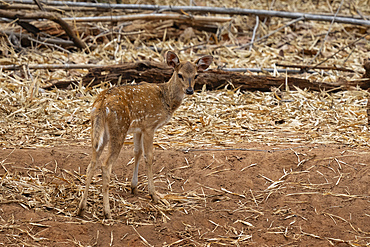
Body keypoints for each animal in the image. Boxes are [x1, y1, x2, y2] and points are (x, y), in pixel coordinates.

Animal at [76, 51, 212, 218]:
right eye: (179, 74)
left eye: (196, 75)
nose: (190, 90)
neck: (166, 99)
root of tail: (101, 103)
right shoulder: (149, 126)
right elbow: (149, 156)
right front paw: (154, 195)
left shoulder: (138, 128)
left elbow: (137, 152)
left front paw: (133, 187)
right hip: (119, 128)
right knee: (105, 165)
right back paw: (107, 212)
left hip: (98, 131)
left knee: (91, 164)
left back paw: (81, 209)